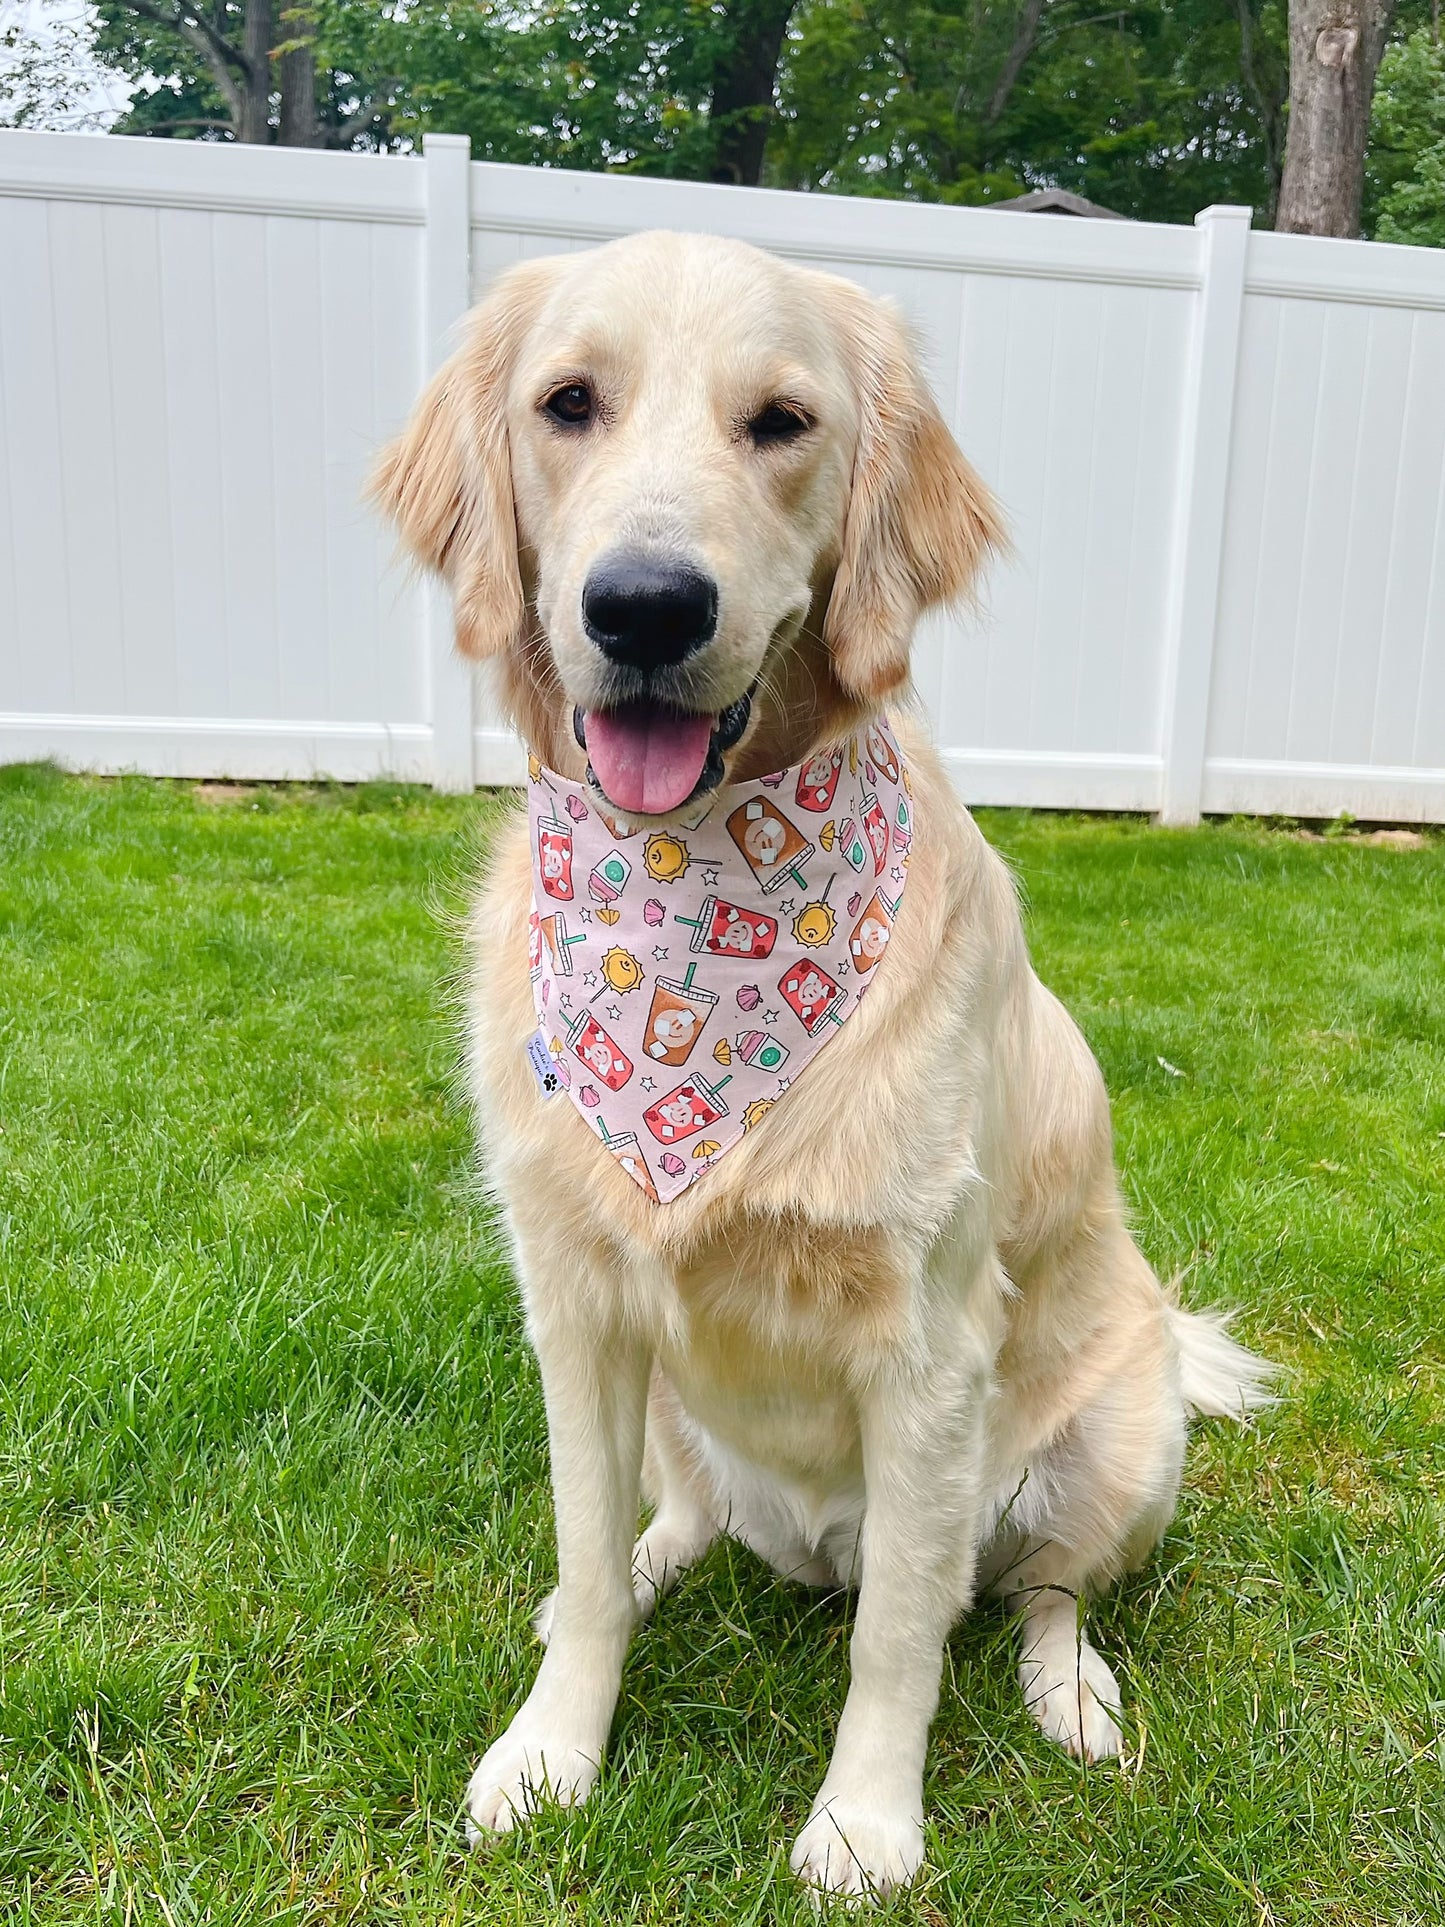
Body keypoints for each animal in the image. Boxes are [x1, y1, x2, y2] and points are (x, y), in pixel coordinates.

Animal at [369, 233, 1263, 1903]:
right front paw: (550, 1746)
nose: (645, 607)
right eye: (567, 403)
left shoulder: (927, 1347)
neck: (690, 883)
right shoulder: (574, 1303)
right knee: (676, 1518)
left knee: (1036, 1589)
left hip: (1125, 1437)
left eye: (781, 422)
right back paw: (651, 1558)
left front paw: (863, 1820)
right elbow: (585, 1552)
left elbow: (898, 1637)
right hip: (671, 1399)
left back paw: (1074, 1690)